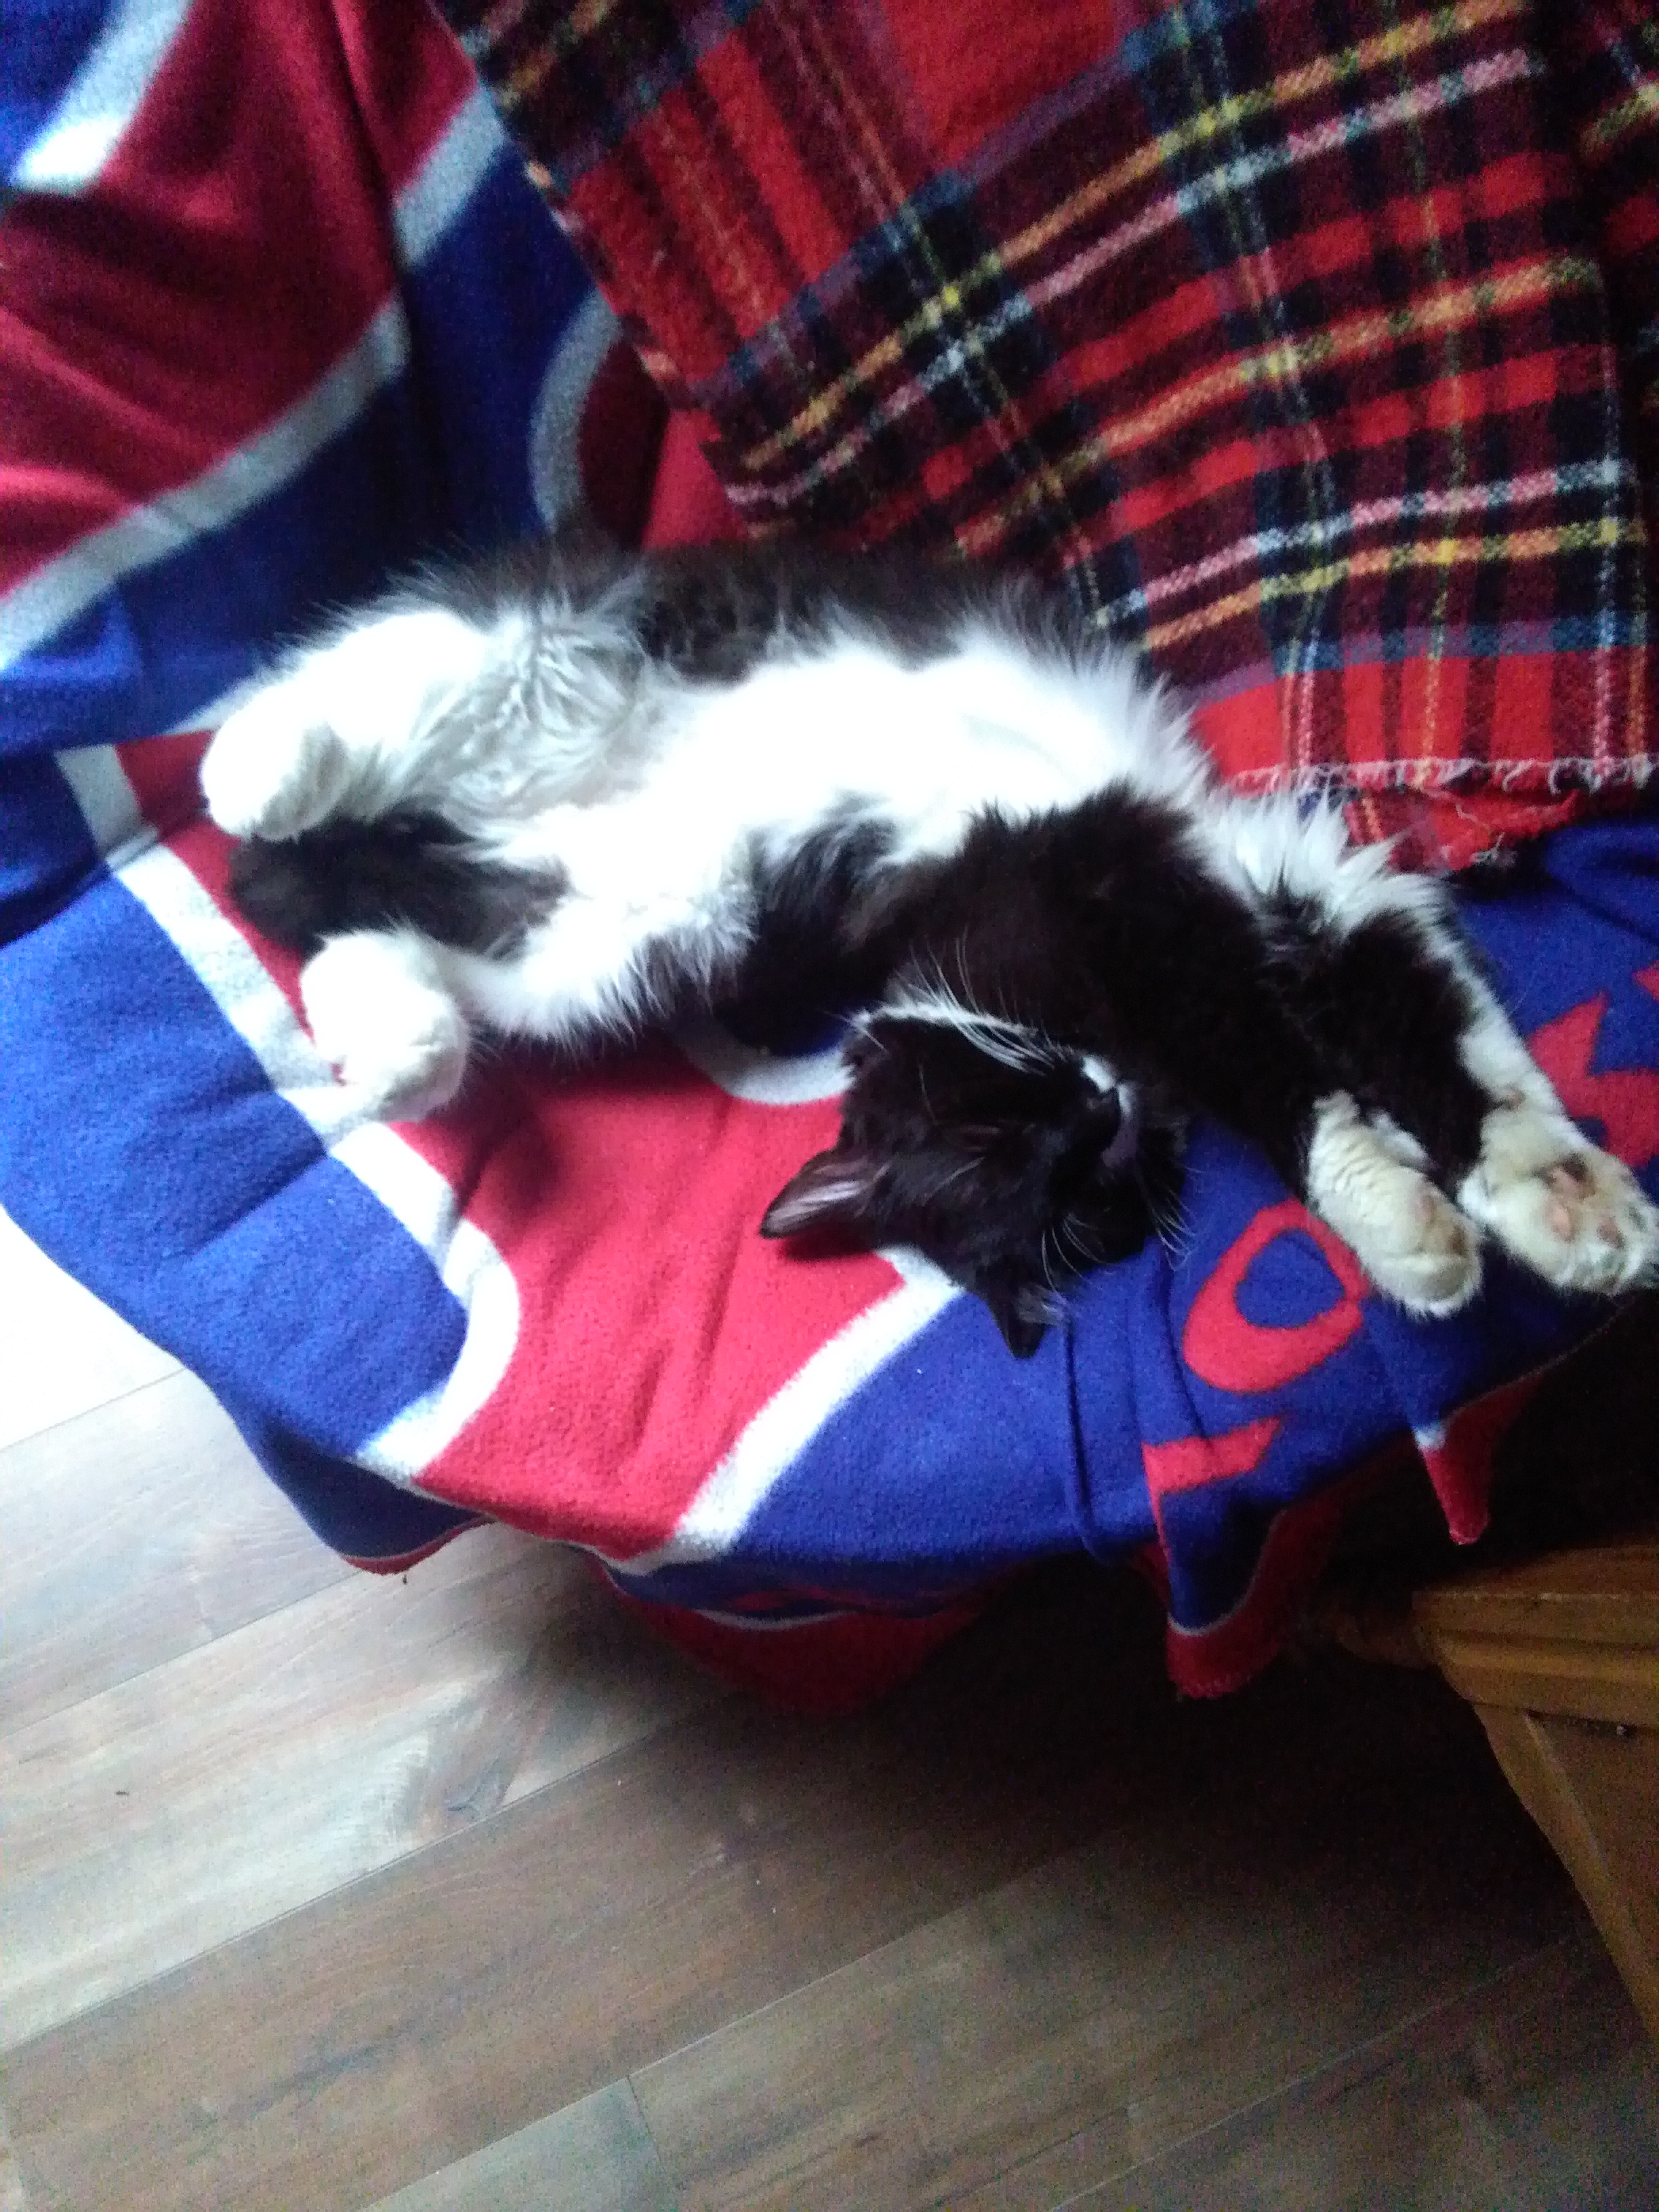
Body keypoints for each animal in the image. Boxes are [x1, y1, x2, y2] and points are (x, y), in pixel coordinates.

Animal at [200, 533, 1659, 1354]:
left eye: (996, 1130)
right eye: (1027, 1168)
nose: (1102, 1110)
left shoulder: (1224, 884)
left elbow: (1444, 1037)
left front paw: (1564, 1199)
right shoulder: (1169, 910)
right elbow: (1299, 1071)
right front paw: (1414, 1230)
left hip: (597, 739)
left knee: (373, 736)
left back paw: (267, 799)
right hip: (624, 922)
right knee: (363, 871)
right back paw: (372, 1000)